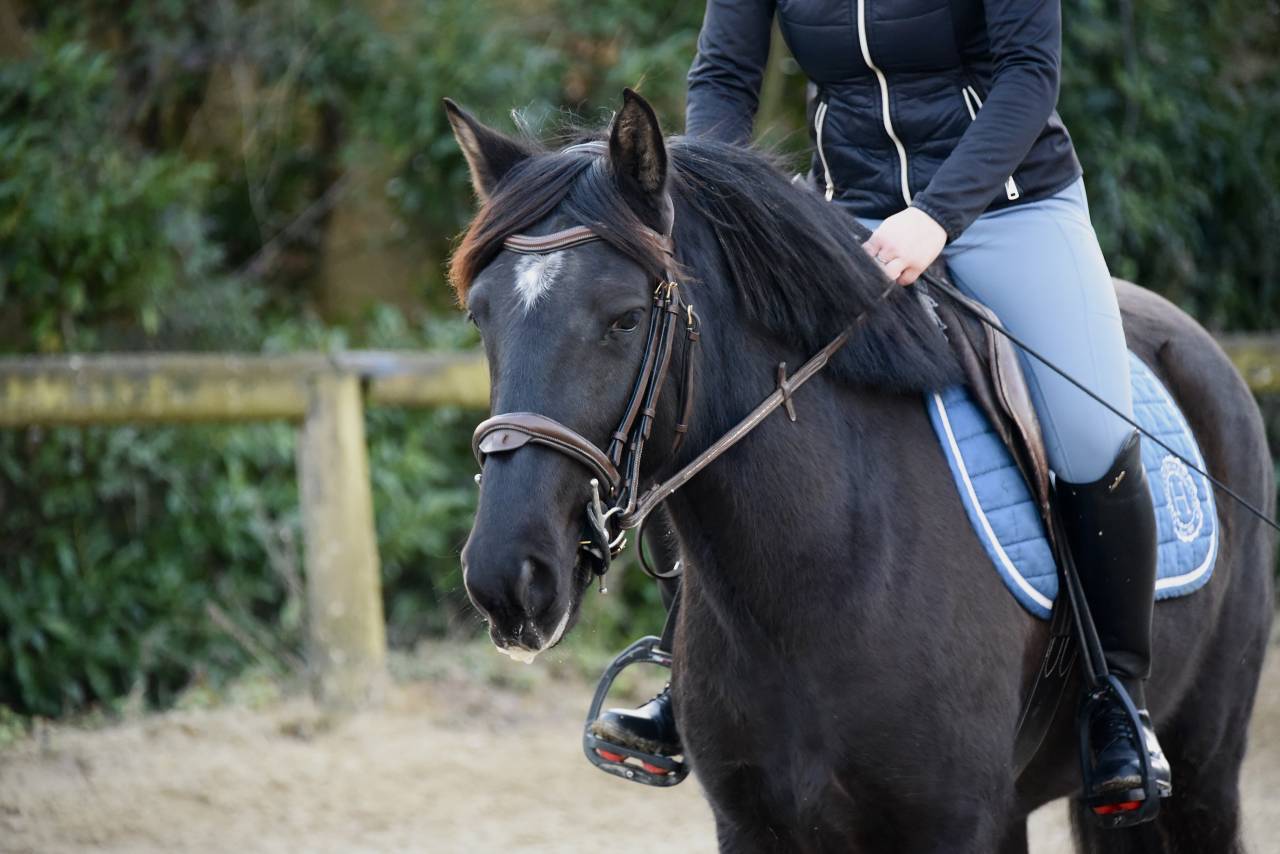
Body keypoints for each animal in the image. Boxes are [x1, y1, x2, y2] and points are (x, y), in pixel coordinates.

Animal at [445, 90, 1275, 853]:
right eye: (480, 317)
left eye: (623, 318)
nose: (507, 579)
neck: (826, 565)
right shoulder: (754, 825)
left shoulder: (957, 824)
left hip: (1203, 764)